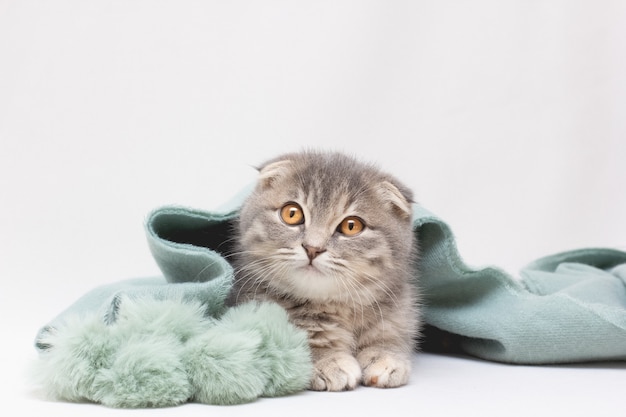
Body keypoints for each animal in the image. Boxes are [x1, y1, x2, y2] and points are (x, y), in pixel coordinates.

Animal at [224, 150, 420, 390]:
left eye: (351, 226)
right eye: (292, 214)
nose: (312, 248)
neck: (336, 306)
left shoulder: (398, 311)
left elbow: (389, 335)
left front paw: (384, 356)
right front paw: (328, 361)